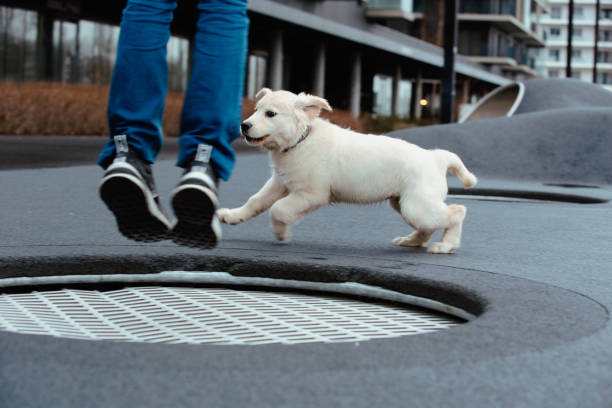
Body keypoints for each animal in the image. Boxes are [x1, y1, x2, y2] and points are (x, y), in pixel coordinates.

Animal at [216, 88, 478, 252]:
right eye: (256, 109)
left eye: (270, 114)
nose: (244, 125)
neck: (301, 140)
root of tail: (435, 157)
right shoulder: (279, 183)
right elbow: (256, 201)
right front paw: (233, 215)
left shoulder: (312, 194)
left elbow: (279, 209)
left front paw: (281, 232)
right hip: (405, 204)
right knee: (429, 226)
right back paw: (412, 241)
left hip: (417, 206)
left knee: (457, 212)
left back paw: (446, 245)